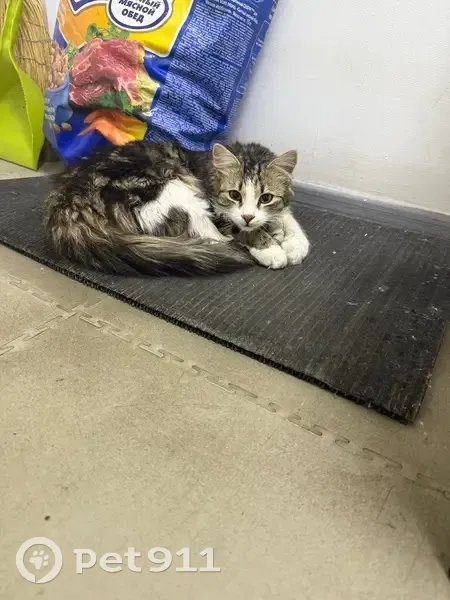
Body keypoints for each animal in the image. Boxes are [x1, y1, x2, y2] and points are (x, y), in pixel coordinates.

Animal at [43, 141, 310, 275]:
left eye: (265, 198)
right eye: (234, 195)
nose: (248, 216)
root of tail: (66, 205)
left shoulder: (278, 207)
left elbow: (290, 219)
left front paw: (293, 243)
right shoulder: (216, 208)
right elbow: (239, 229)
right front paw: (271, 248)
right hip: (173, 190)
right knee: (214, 238)